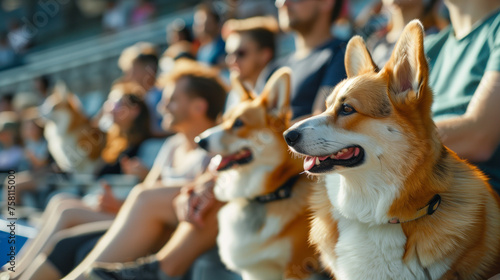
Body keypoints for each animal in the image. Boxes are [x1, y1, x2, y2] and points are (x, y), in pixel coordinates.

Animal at [197, 68, 318, 280]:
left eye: (239, 123)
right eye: (224, 120)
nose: (199, 141)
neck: (269, 195)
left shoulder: (297, 267)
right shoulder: (258, 272)